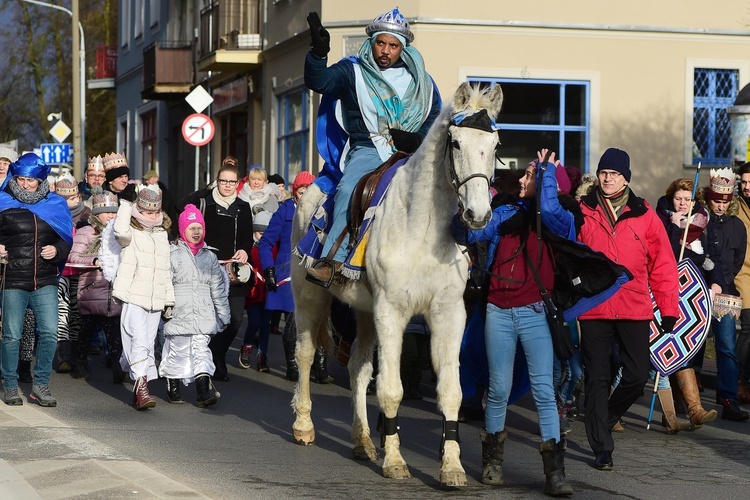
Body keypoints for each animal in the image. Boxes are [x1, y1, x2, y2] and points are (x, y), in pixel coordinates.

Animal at [292, 83, 506, 488]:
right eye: (456, 142)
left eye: (495, 143)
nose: (478, 215)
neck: (422, 227)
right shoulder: (392, 311)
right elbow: (392, 390)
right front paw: (395, 461)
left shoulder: (448, 314)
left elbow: (451, 392)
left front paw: (452, 468)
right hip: (309, 297)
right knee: (307, 354)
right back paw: (304, 425)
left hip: (363, 312)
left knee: (358, 367)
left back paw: (362, 442)